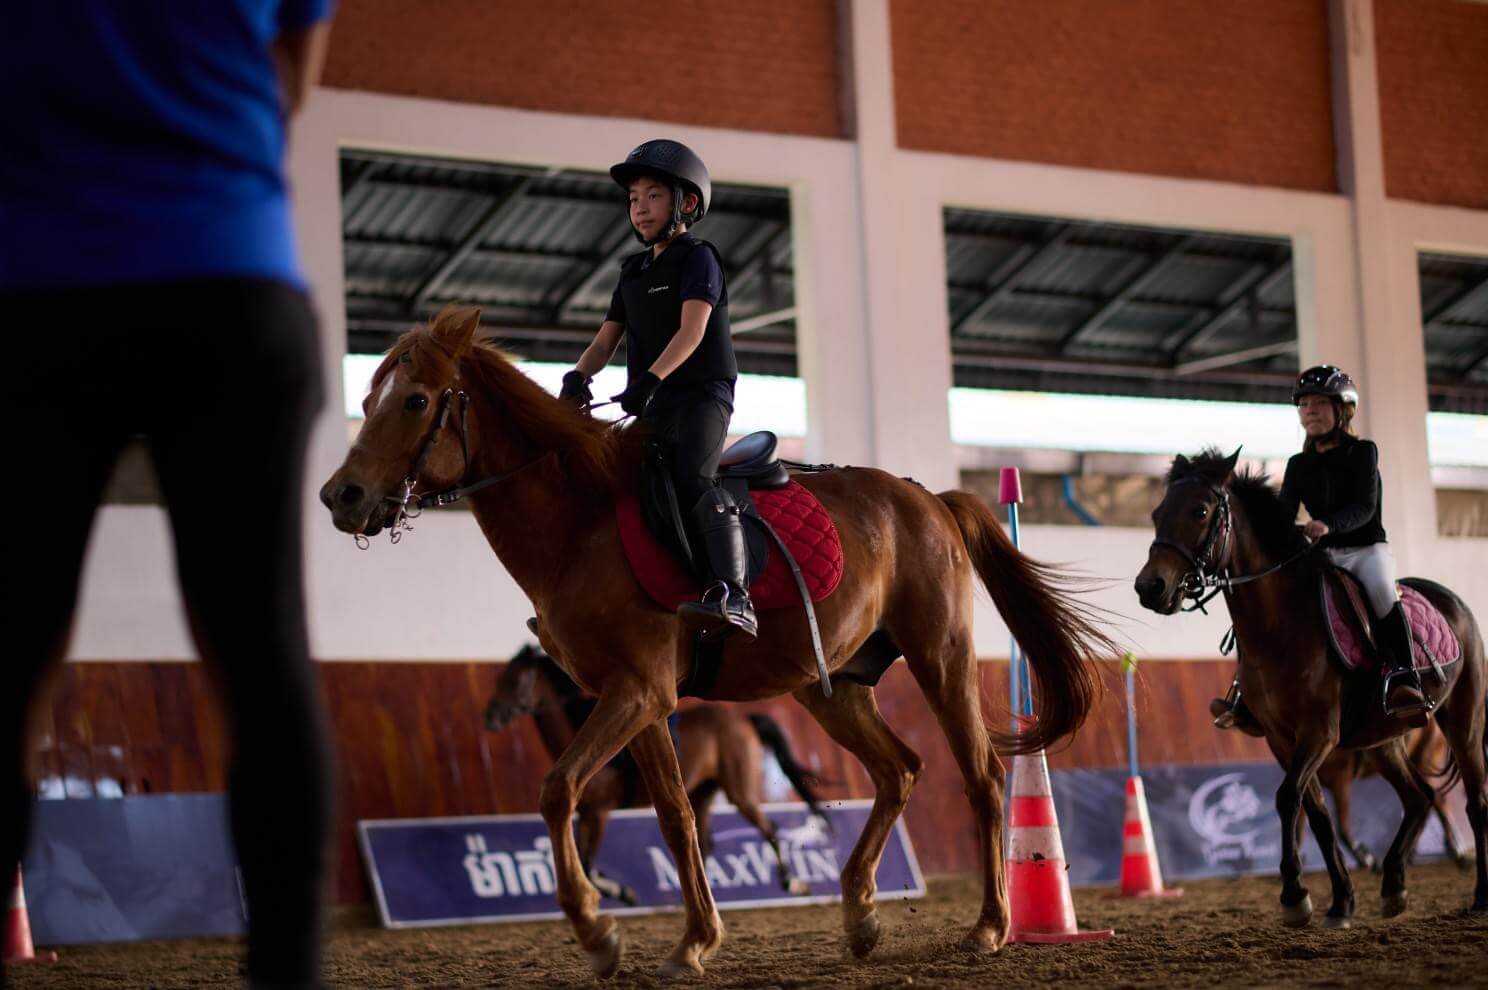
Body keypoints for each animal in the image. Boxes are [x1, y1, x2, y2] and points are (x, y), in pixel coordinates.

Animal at [488, 640, 833, 905]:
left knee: (768, 828)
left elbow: (587, 866)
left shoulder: (599, 813)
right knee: (705, 841)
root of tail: (743, 719)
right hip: (703, 791)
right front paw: (622, 891)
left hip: (738, 789)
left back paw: (792, 883)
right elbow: (587, 866)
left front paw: (625, 893)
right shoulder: (585, 813)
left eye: (515, 679)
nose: (490, 716)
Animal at [1130, 446, 1482, 928]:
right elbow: (1314, 813)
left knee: (1474, 801)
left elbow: (1286, 800)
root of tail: (1452, 600)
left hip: (1462, 722)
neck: (1280, 625)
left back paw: (1478, 895)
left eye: (1200, 511)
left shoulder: (1319, 732)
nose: (1150, 587)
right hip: (1385, 741)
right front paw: (1338, 902)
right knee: (1420, 797)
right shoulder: (1283, 739)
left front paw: (1295, 894)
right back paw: (1393, 885)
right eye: (1156, 513)